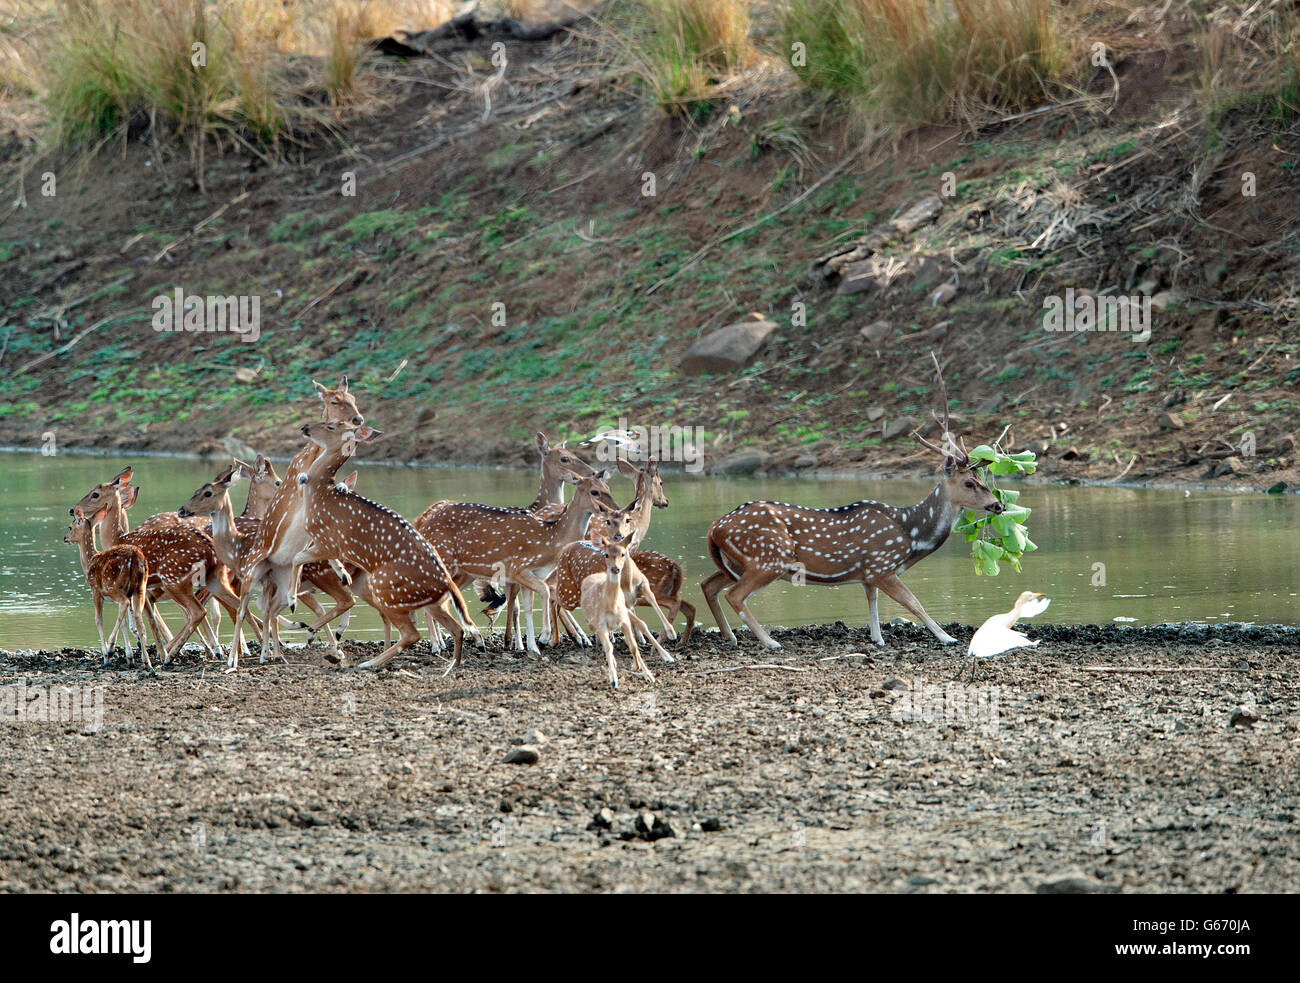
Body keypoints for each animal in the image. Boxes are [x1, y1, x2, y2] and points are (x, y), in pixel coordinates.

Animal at [63, 509, 164, 667]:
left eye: (70, 527)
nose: (65, 538)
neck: (89, 562)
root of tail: (135, 557)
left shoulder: (96, 591)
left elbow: (98, 619)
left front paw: (106, 655)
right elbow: (124, 622)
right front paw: (130, 656)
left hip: (114, 587)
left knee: (125, 605)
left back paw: (112, 650)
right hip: (140, 588)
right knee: (139, 618)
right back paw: (147, 662)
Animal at [289, 421, 477, 672]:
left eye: (331, 426)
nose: (304, 427)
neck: (321, 493)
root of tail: (446, 583)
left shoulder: (328, 540)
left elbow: (297, 558)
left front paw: (293, 603)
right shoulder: (328, 545)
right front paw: (342, 575)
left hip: (384, 587)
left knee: (411, 634)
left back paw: (368, 662)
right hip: (433, 603)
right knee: (457, 628)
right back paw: (450, 667)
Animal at [700, 354, 1005, 650]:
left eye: (983, 479)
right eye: (968, 483)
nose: (998, 505)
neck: (912, 535)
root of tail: (714, 527)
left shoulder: (869, 574)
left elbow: (873, 603)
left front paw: (877, 638)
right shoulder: (882, 565)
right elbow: (913, 602)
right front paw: (947, 637)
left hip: (737, 563)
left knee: (707, 584)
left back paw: (731, 636)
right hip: (768, 557)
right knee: (735, 595)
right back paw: (769, 641)